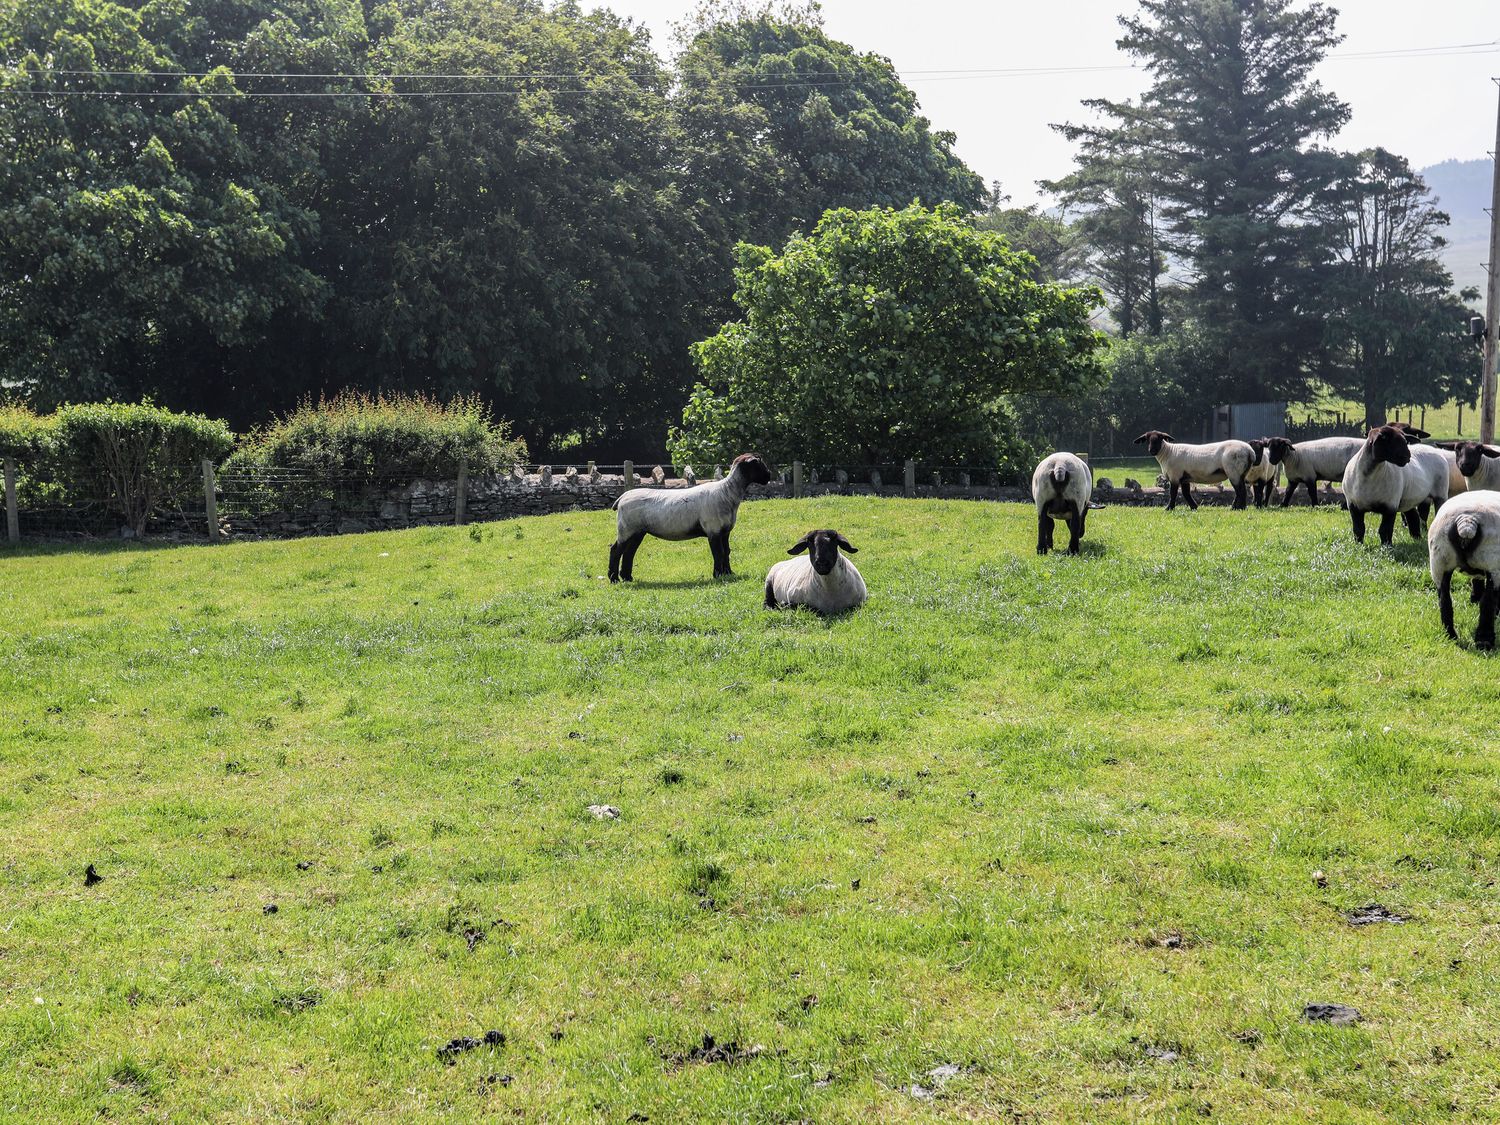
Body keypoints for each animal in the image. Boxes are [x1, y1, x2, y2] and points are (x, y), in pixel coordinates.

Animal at [609, 453, 774, 585]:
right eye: (758, 465)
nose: (769, 476)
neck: (727, 492)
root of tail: (622, 497)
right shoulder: (713, 530)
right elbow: (718, 552)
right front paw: (718, 575)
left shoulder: (725, 531)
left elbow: (727, 551)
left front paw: (729, 573)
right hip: (626, 528)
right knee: (616, 550)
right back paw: (614, 579)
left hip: (637, 531)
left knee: (629, 552)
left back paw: (627, 577)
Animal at [1128, 432, 1260, 510]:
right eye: (1147, 439)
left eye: (1159, 439)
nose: (1152, 450)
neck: (1168, 453)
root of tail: (1250, 452)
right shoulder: (1185, 478)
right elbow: (1186, 493)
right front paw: (1194, 507)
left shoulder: (1175, 476)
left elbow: (1173, 493)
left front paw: (1169, 508)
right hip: (1241, 472)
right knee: (1241, 490)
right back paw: (1238, 507)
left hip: (1233, 471)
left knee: (1240, 490)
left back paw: (1238, 508)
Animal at [1422, 495, 1494, 651]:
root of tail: (1467, 521)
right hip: (1491, 559)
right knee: (1488, 601)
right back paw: (1484, 641)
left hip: (1440, 559)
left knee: (1444, 600)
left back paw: (1450, 635)